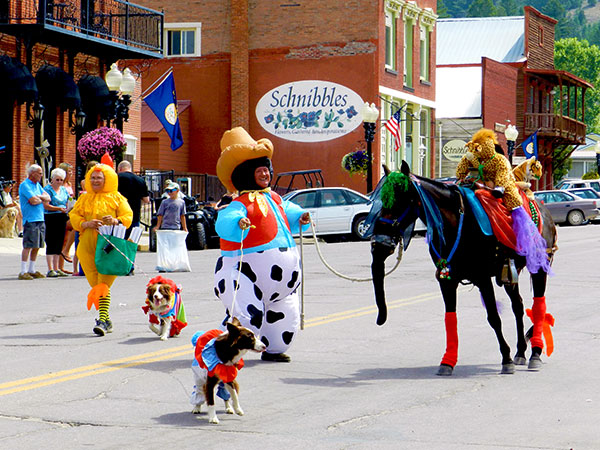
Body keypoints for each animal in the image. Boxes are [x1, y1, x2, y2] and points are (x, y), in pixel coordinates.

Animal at [370, 162, 556, 376]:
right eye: (382, 199)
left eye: (401, 199)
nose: (379, 243)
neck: (456, 224)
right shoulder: (446, 279)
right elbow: (450, 318)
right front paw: (447, 362)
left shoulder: (483, 278)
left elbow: (494, 317)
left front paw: (506, 359)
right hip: (511, 274)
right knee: (517, 306)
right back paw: (521, 352)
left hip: (540, 267)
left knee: (539, 305)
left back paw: (535, 353)